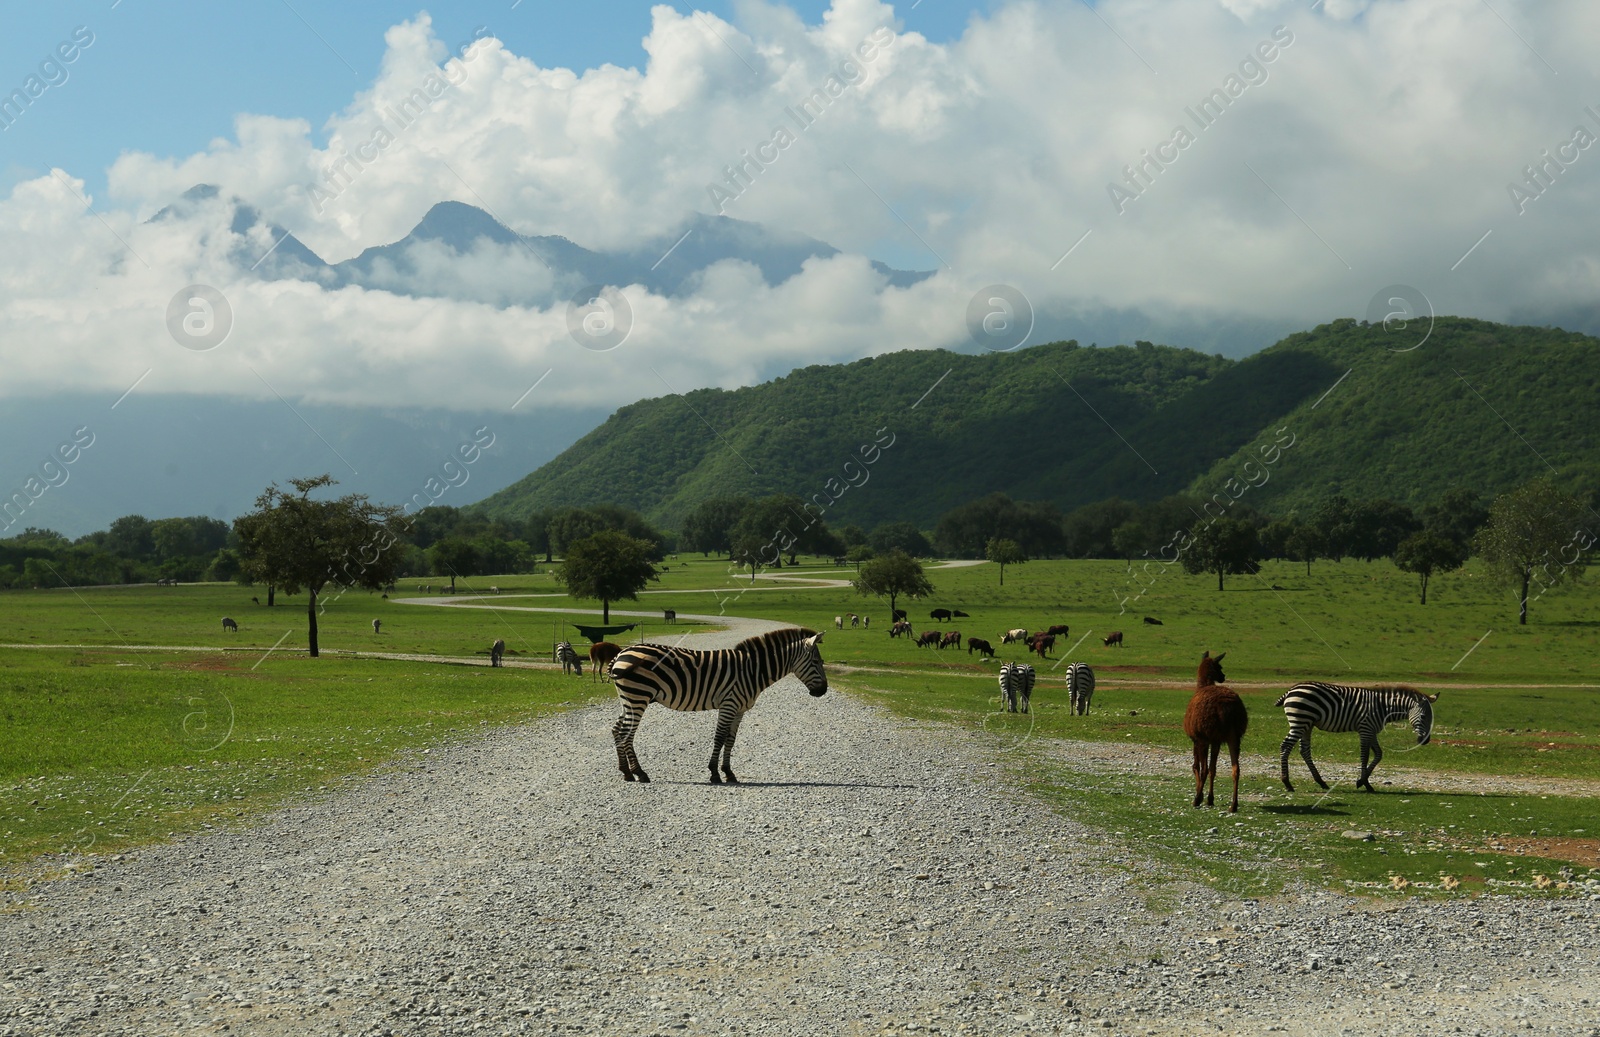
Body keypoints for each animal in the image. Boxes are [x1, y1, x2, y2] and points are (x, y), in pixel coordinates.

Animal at [608, 627, 832, 780]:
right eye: (816, 662)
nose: (823, 691)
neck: (753, 670)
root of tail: (620, 654)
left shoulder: (740, 709)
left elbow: (730, 740)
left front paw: (729, 772)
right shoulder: (729, 704)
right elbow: (719, 737)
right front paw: (715, 773)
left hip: (629, 699)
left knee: (617, 729)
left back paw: (626, 772)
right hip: (638, 697)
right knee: (627, 732)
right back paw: (640, 773)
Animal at [1273, 684, 1440, 790]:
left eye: (1432, 718)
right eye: (1423, 716)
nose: (1425, 741)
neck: (1383, 708)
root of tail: (1291, 690)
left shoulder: (1372, 731)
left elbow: (1378, 754)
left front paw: (1362, 781)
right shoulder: (1365, 729)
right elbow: (1364, 756)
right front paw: (1364, 783)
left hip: (1307, 724)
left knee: (1304, 750)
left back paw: (1321, 782)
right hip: (1300, 720)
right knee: (1286, 746)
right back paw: (1287, 783)